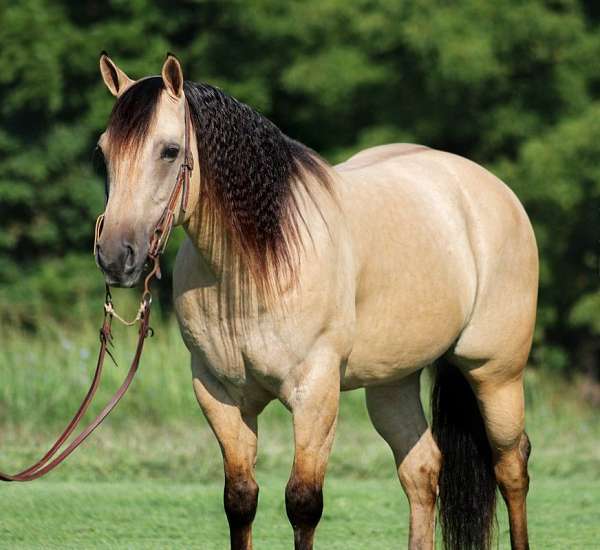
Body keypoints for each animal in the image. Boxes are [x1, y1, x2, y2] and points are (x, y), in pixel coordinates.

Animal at [96, 52, 536, 550]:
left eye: (169, 151)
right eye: (104, 151)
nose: (115, 256)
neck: (254, 266)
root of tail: (491, 190)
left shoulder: (315, 394)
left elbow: (303, 502)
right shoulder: (218, 394)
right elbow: (240, 499)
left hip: (496, 373)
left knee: (511, 466)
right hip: (393, 381)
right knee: (422, 469)